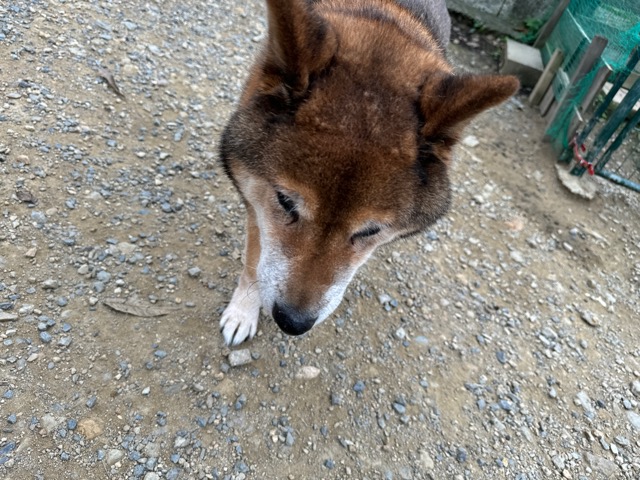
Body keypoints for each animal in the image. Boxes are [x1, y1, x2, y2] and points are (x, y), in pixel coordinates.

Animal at [219, 0, 519, 345]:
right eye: (285, 203)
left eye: (370, 230)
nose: (293, 322)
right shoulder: (256, 201)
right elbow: (254, 262)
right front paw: (243, 311)